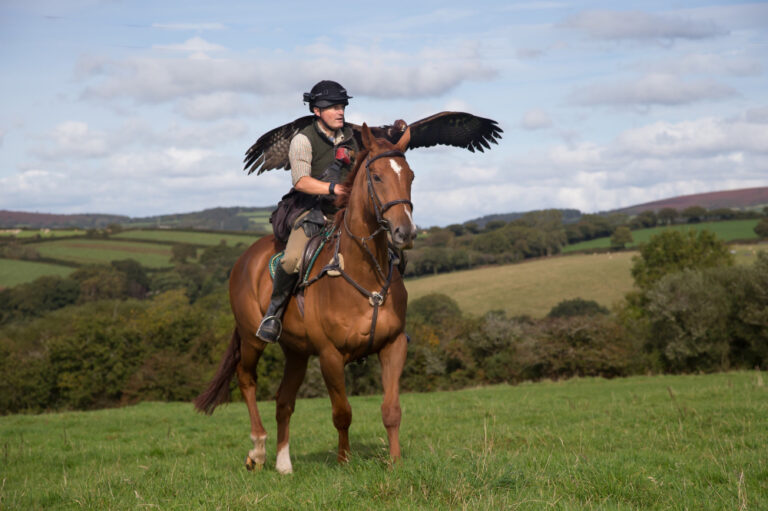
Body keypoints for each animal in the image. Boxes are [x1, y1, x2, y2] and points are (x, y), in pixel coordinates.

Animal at [194, 124, 416, 474]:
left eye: (410, 175)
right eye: (377, 176)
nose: (405, 233)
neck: (363, 269)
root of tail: (246, 257)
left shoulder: (393, 345)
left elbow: (391, 409)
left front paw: (394, 463)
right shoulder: (330, 355)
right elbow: (342, 412)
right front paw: (344, 461)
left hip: (296, 352)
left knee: (284, 401)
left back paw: (284, 464)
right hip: (252, 339)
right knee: (246, 379)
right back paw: (258, 450)